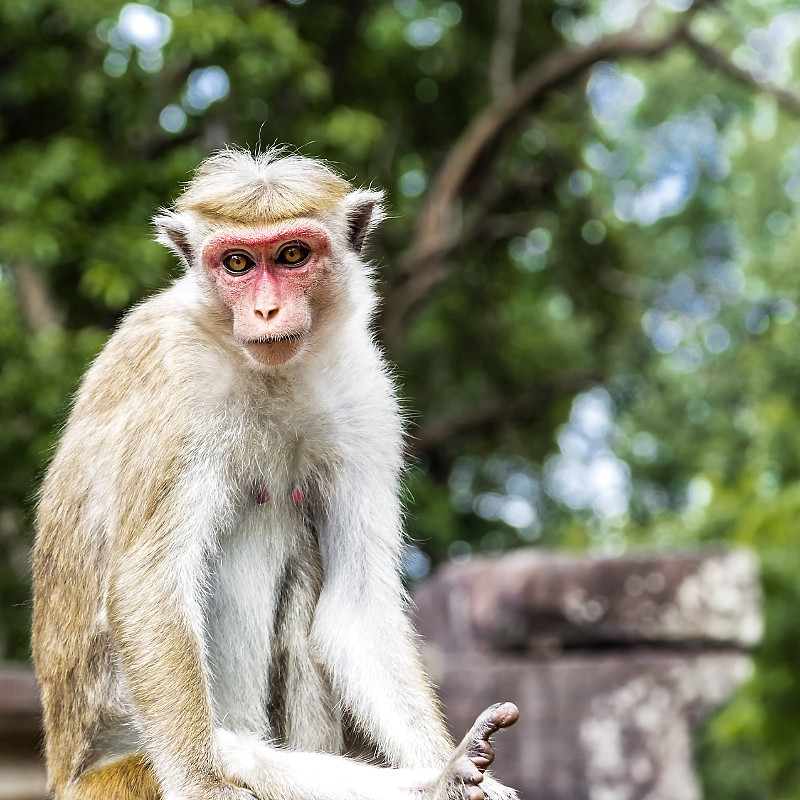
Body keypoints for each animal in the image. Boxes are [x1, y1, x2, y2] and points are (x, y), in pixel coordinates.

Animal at [31, 148, 520, 800]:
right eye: (237, 262)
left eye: (292, 255)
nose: (265, 309)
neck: (270, 371)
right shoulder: (179, 382)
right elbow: (148, 586)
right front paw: (205, 785)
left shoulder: (365, 394)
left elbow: (355, 607)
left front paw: (445, 769)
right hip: (117, 779)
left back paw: (439, 779)